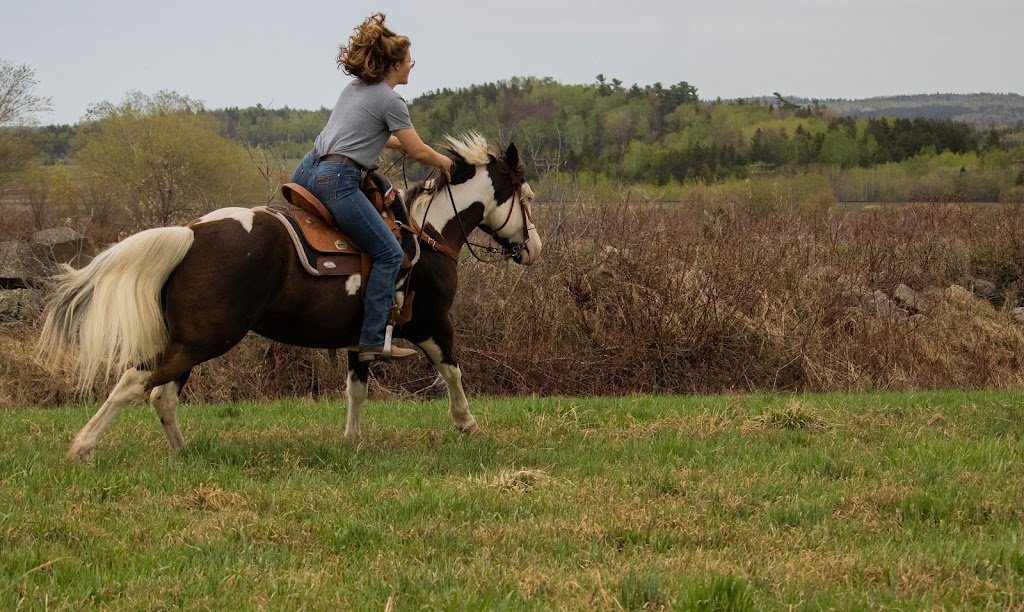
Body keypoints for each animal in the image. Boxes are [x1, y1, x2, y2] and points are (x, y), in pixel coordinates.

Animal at [36, 134, 540, 460]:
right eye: (528, 196)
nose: (534, 248)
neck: (426, 235)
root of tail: (193, 232)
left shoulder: (362, 336)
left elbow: (357, 389)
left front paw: (352, 441)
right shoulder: (433, 323)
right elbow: (452, 371)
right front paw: (466, 422)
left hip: (189, 341)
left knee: (161, 395)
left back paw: (183, 453)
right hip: (206, 339)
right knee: (134, 382)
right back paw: (83, 446)